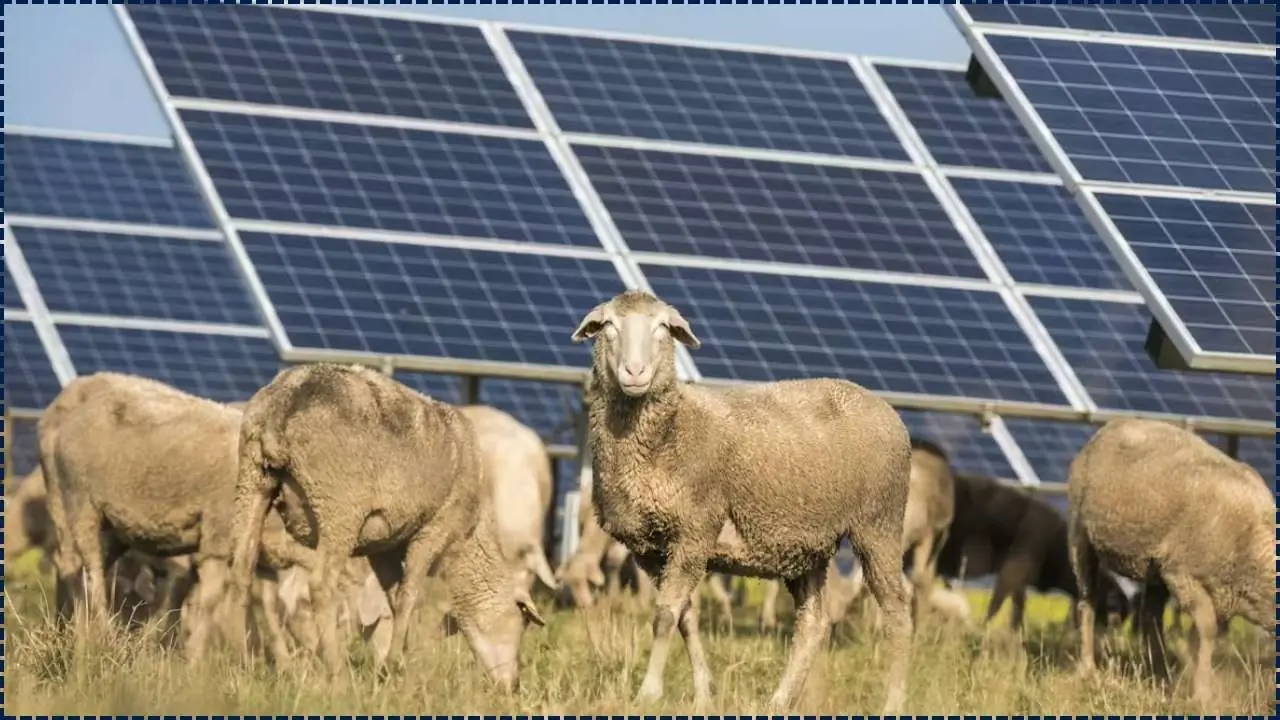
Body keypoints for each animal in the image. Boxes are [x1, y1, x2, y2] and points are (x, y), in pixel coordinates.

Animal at [224, 362, 545, 687]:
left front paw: (403, 659)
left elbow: (394, 597)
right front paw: (397, 664)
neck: (471, 534)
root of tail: (284, 405)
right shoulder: (434, 528)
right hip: (338, 506)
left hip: (253, 480)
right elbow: (409, 595)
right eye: (522, 622)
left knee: (241, 571)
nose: (512, 685)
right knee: (321, 584)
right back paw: (337, 675)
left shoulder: (385, 545)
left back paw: (243, 665)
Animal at [571, 289, 913, 713]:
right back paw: (779, 701)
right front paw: (703, 694)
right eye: (609, 325)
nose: (635, 372)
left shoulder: (695, 531)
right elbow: (685, 618)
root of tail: (884, 407)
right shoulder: (650, 549)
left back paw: (892, 703)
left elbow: (665, 616)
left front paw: (648, 693)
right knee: (812, 624)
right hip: (807, 543)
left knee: (898, 613)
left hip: (880, 522)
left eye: (662, 326)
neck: (668, 432)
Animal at [1067, 418, 1275, 704]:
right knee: (1088, 602)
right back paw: (1087, 669)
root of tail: (1114, 423)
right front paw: (1202, 694)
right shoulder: (1182, 573)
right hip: (1081, 535)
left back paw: (1161, 678)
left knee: (1150, 617)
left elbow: (1201, 634)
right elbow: (1206, 629)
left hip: (1152, 565)